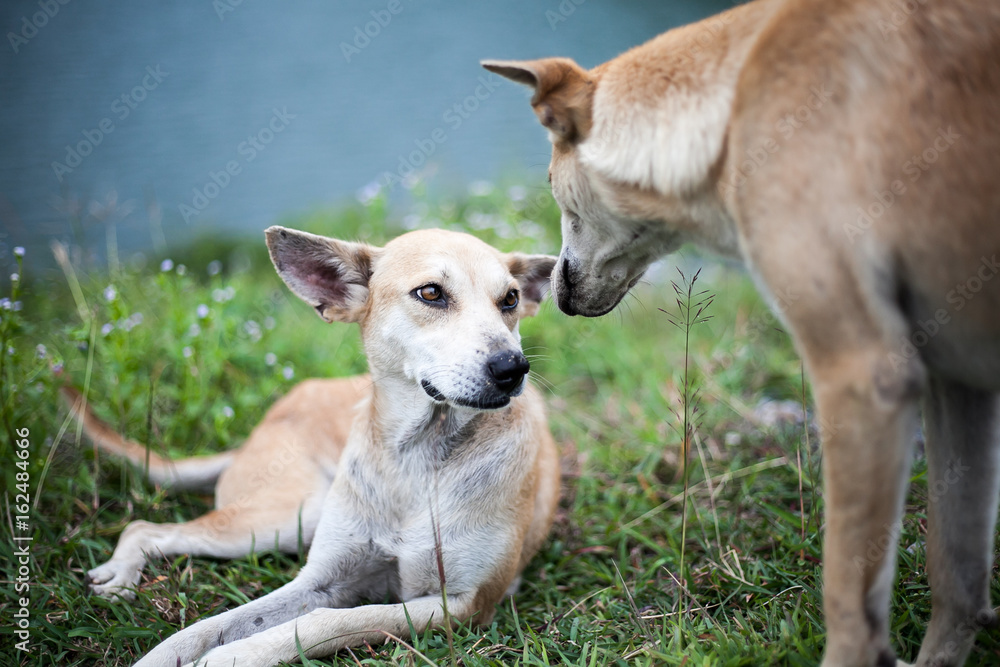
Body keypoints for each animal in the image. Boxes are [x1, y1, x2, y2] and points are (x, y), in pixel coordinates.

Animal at [66, 227, 560, 664]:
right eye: (431, 293)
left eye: (510, 299)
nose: (513, 367)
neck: (416, 458)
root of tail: (264, 425)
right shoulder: (321, 580)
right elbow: (214, 624)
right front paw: (167, 655)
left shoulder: (461, 604)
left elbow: (328, 622)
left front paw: (234, 656)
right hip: (289, 516)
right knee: (144, 527)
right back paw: (121, 574)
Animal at [484, 1, 1000, 667]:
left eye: (550, 185)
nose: (560, 292)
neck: (730, 106)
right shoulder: (958, 384)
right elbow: (955, 576)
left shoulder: (862, 378)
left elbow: (848, 597)